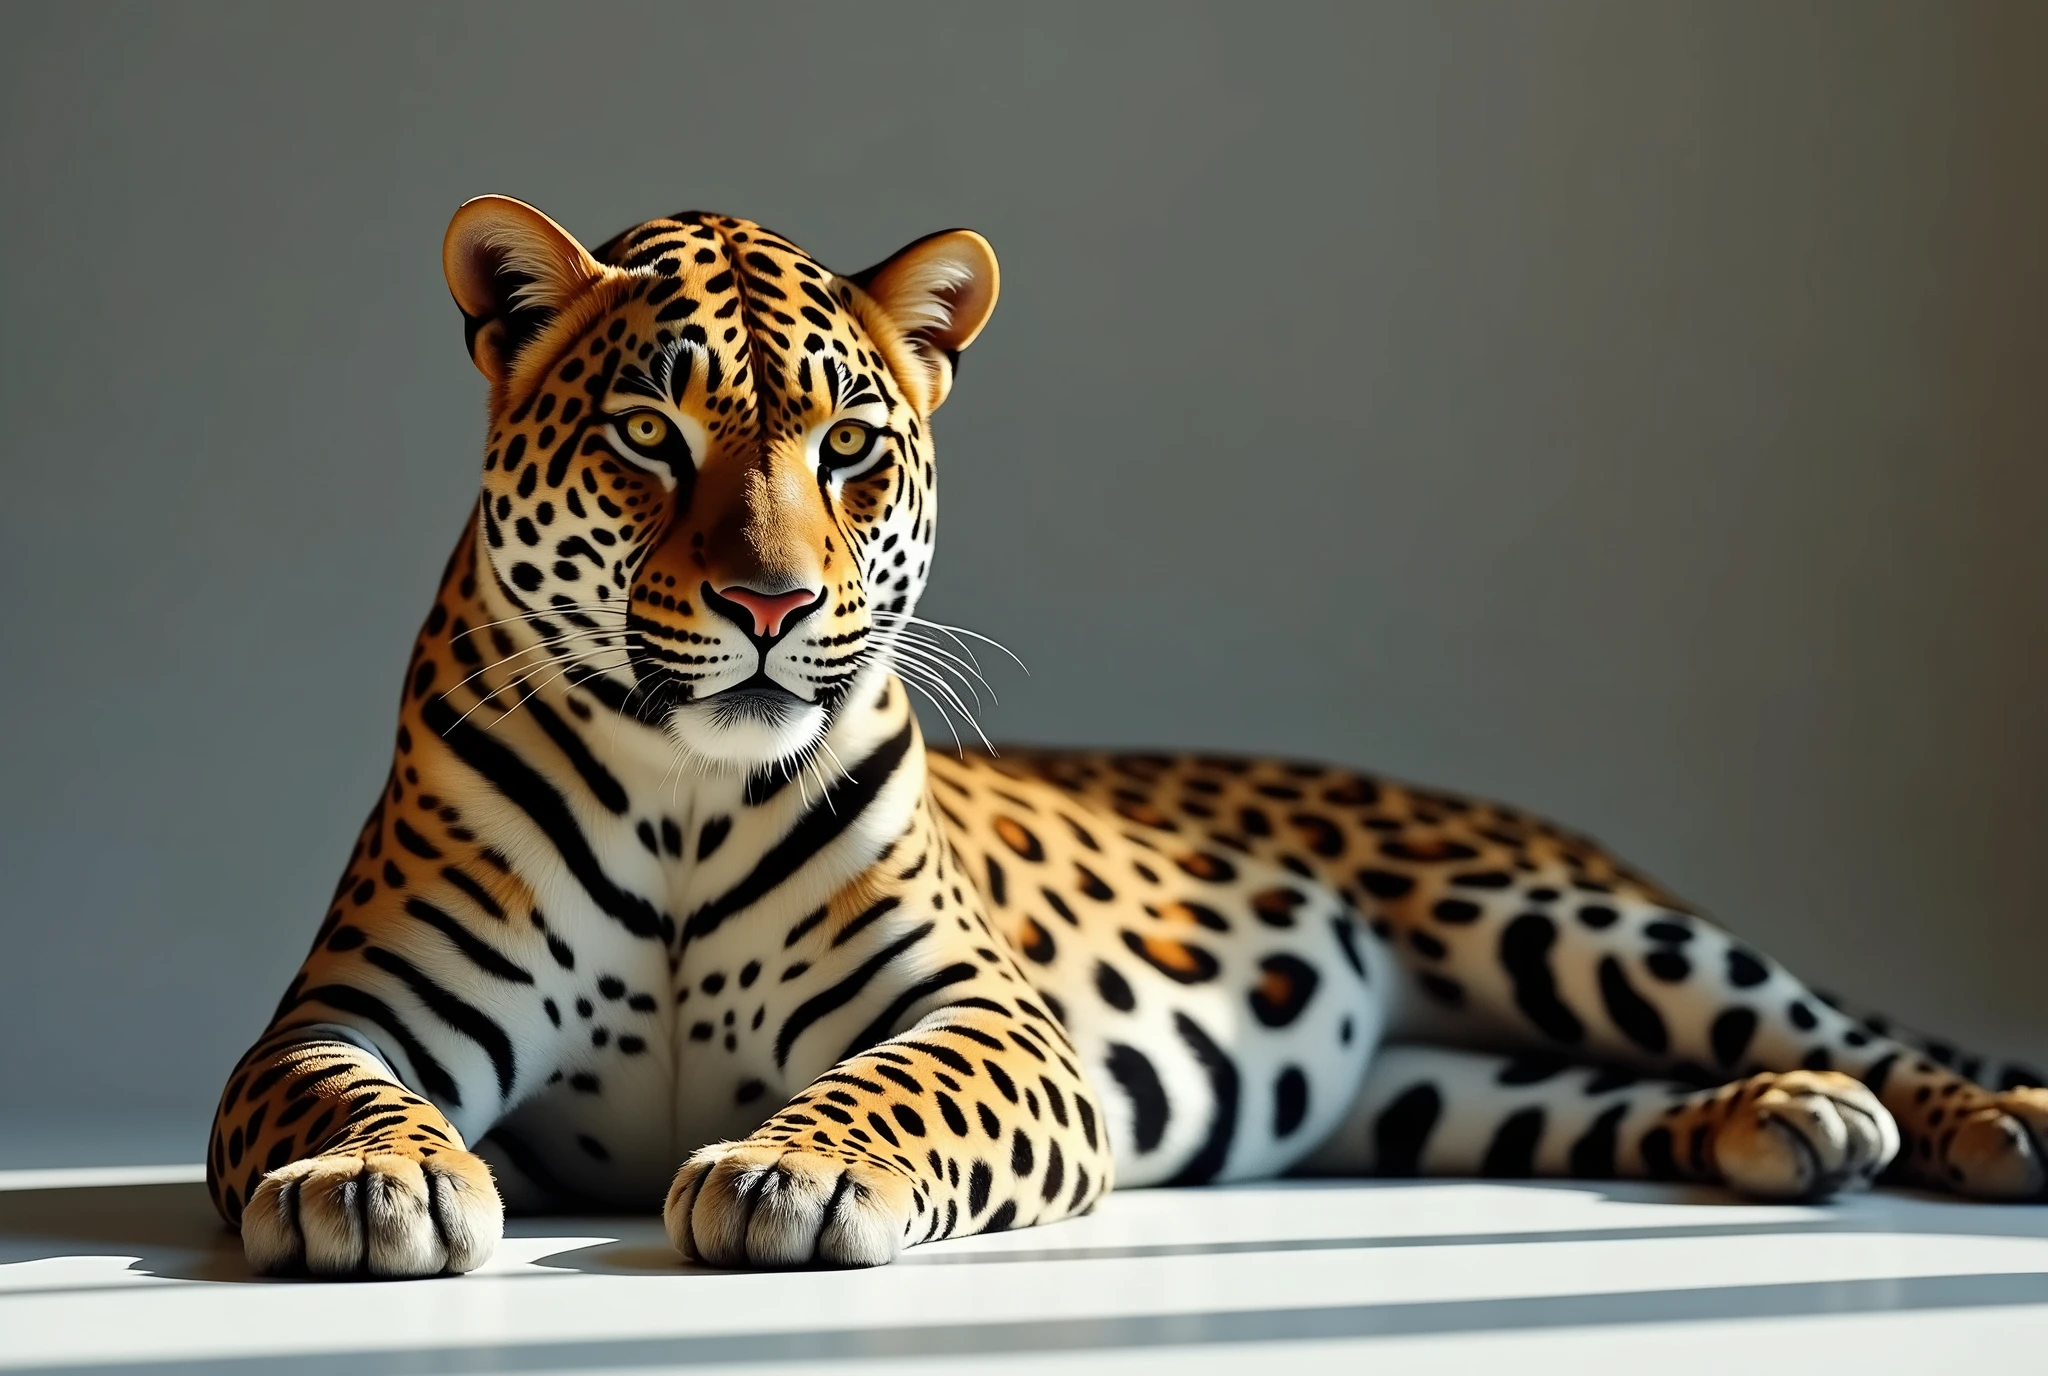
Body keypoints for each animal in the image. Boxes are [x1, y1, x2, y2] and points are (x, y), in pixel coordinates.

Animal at [207, 196, 2048, 1277]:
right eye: (650, 438)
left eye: (851, 447)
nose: (771, 604)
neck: (684, 792)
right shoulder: (355, 1008)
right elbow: (328, 1092)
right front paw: (368, 1184)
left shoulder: (988, 1014)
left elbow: (897, 1085)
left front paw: (796, 1172)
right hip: (1426, 1085)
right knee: (1589, 1094)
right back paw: (1791, 1122)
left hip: (1557, 922)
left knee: (1827, 1017)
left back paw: (1978, 1119)